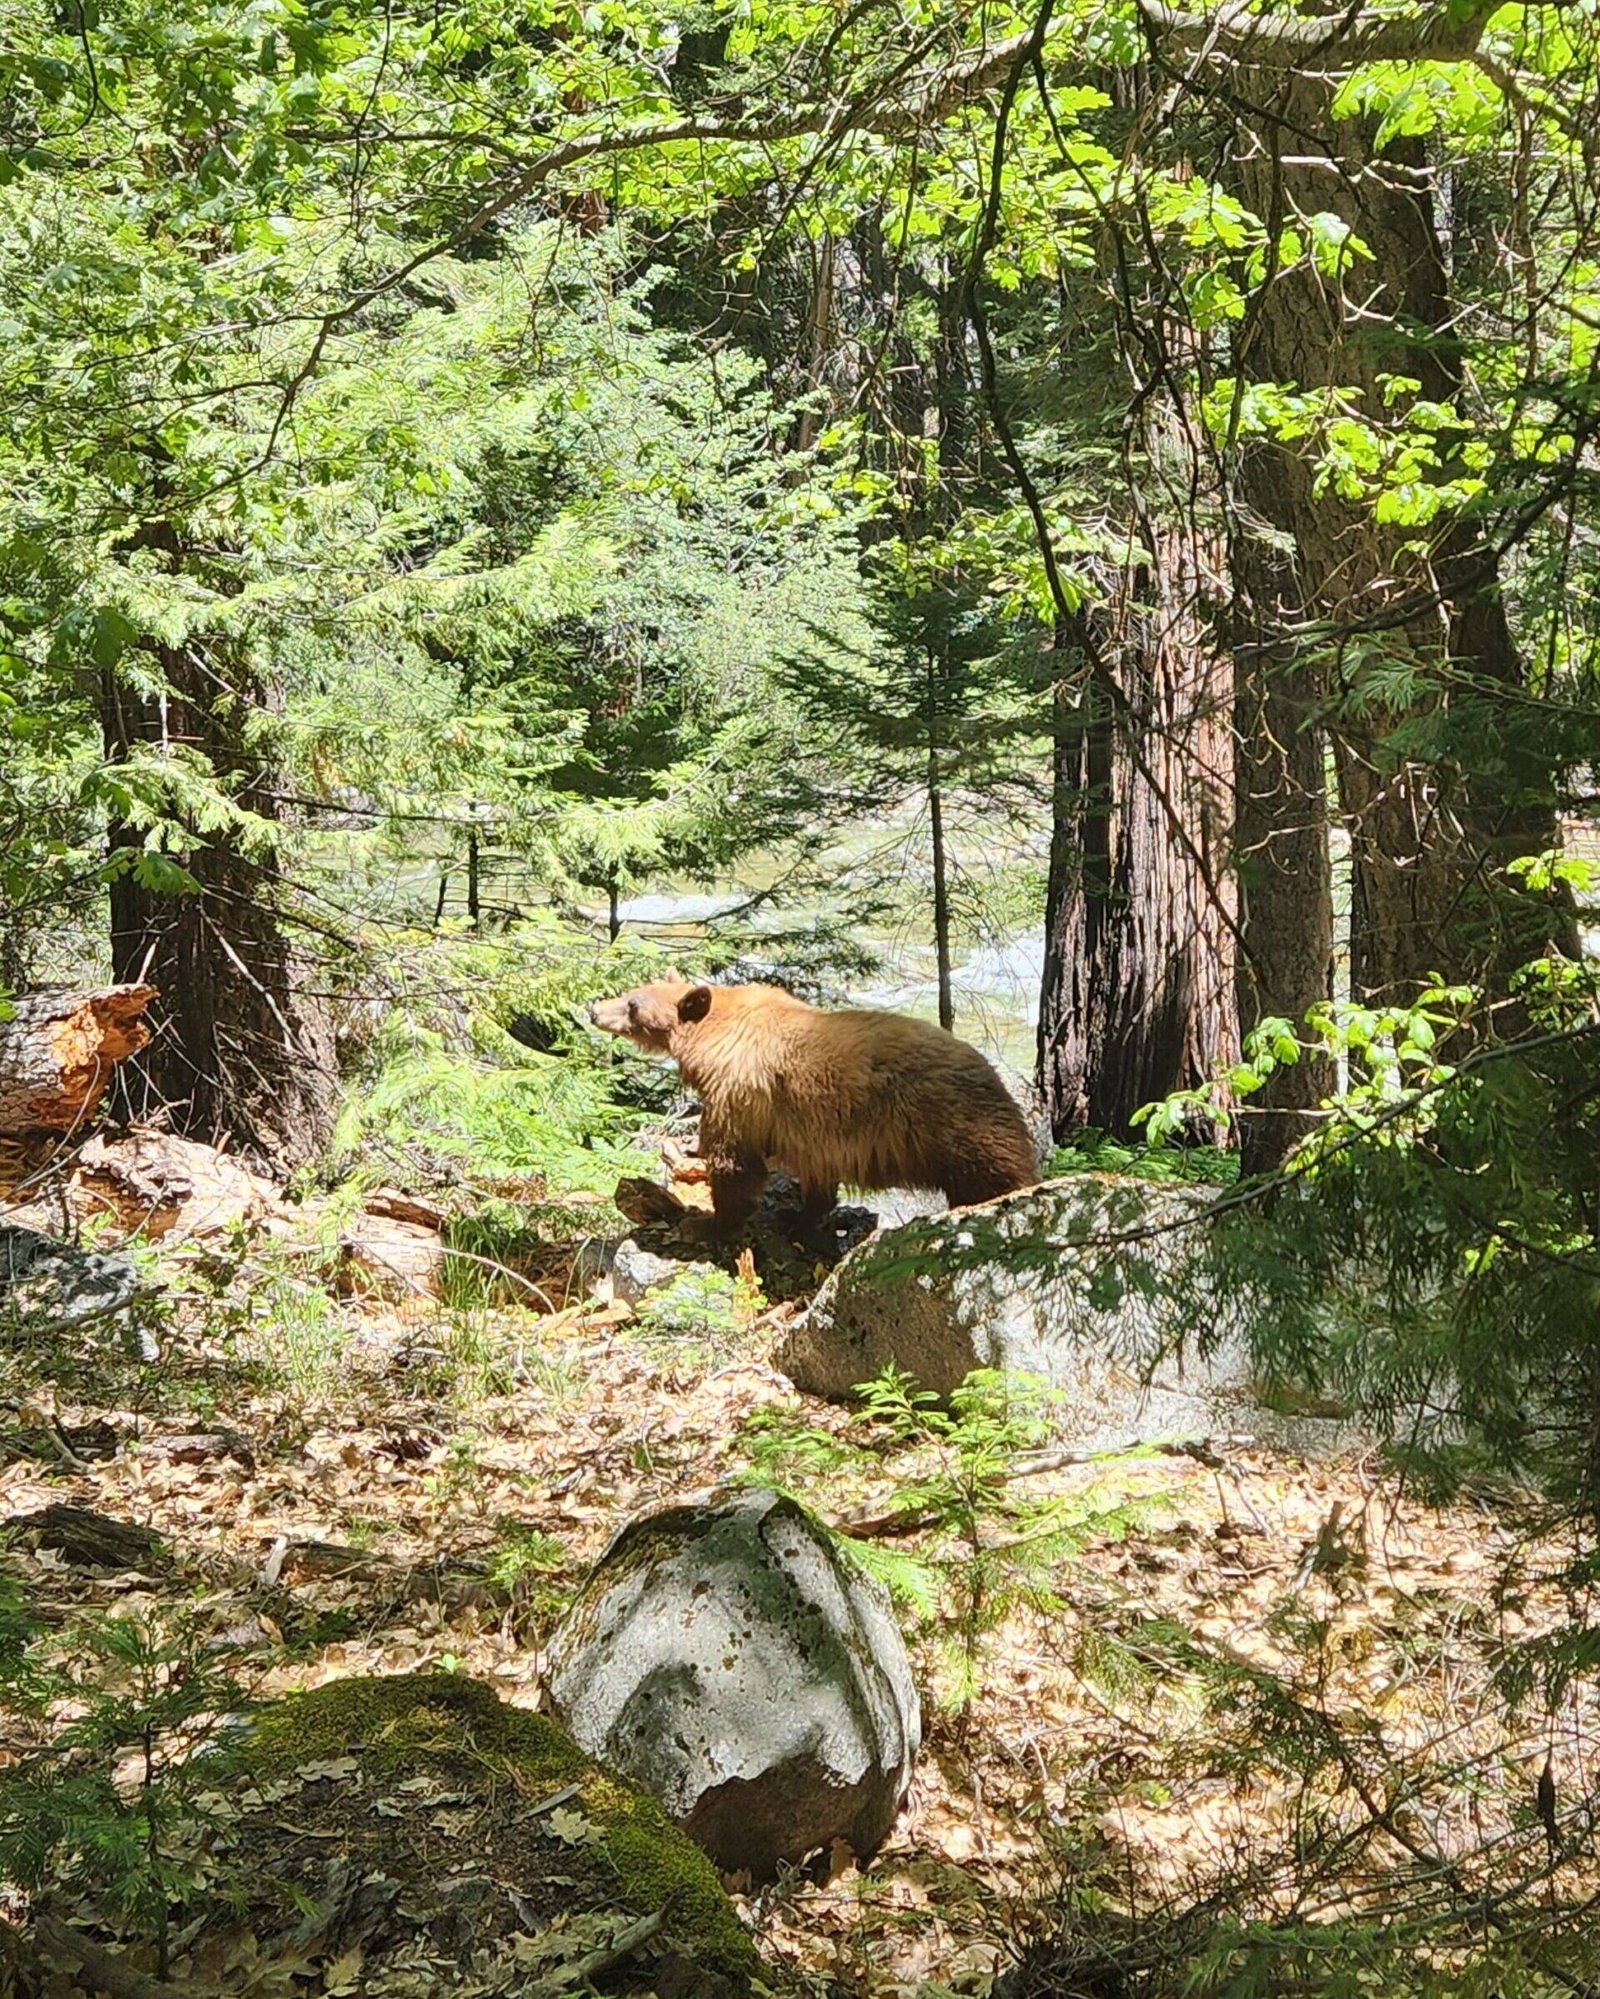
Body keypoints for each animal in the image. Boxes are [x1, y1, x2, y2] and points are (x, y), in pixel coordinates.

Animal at [589, 974, 1039, 1237]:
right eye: (630, 992)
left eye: (633, 1005)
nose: (594, 1008)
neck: (713, 1036)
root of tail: (991, 1070)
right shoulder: (810, 1131)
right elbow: (814, 1176)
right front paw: (800, 1215)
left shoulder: (738, 1091)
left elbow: (734, 1160)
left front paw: (709, 1222)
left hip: (954, 1123)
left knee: (993, 1171)